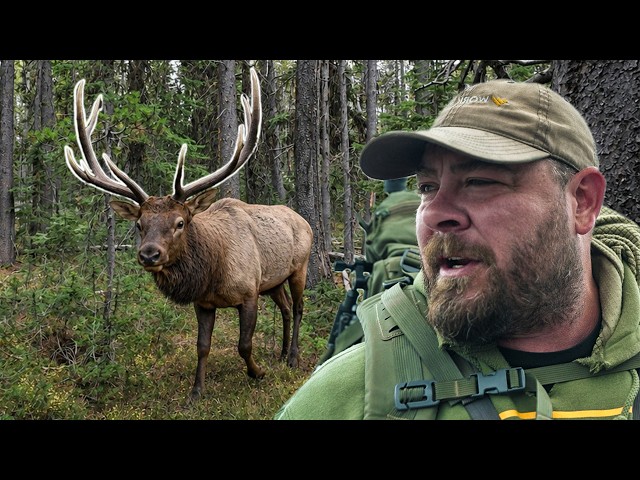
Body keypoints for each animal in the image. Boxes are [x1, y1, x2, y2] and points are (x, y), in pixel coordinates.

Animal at [64, 68, 313, 401]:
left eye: (180, 222)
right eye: (140, 224)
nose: (149, 254)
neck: (213, 271)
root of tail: (302, 219)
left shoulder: (248, 292)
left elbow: (244, 344)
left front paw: (257, 372)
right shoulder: (204, 302)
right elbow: (202, 346)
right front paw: (196, 392)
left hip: (300, 266)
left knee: (298, 308)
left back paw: (294, 357)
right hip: (273, 280)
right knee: (285, 308)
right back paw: (283, 353)